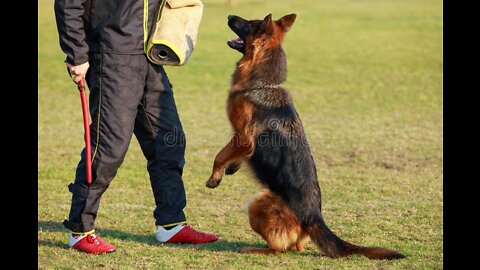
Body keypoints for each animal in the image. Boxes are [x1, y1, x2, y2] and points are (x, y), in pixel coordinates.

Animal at [206, 13, 404, 260]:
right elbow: (232, 155)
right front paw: (233, 167)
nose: (229, 15)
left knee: (279, 249)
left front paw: (214, 177)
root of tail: (314, 217)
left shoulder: (242, 136)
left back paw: (254, 249)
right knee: (295, 247)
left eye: (249, 24)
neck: (264, 83)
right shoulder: (241, 141)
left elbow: (220, 155)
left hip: (257, 204)